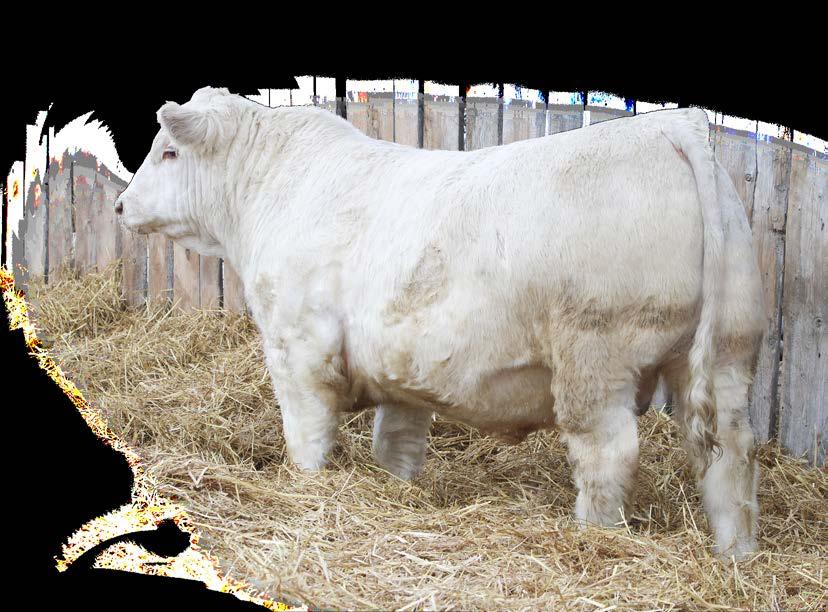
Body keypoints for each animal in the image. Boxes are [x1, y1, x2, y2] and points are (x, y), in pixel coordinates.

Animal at [116, 87, 766, 560]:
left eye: (169, 151)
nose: (121, 205)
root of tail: (672, 127)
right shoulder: (402, 374)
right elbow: (396, 444)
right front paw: (397, 488)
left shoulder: (299, 349)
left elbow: (307, 435)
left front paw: (307, 486)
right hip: (728, 352)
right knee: (730, 455)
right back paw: (736, 554)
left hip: (596, 355)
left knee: (608, 452)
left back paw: (593, 534)